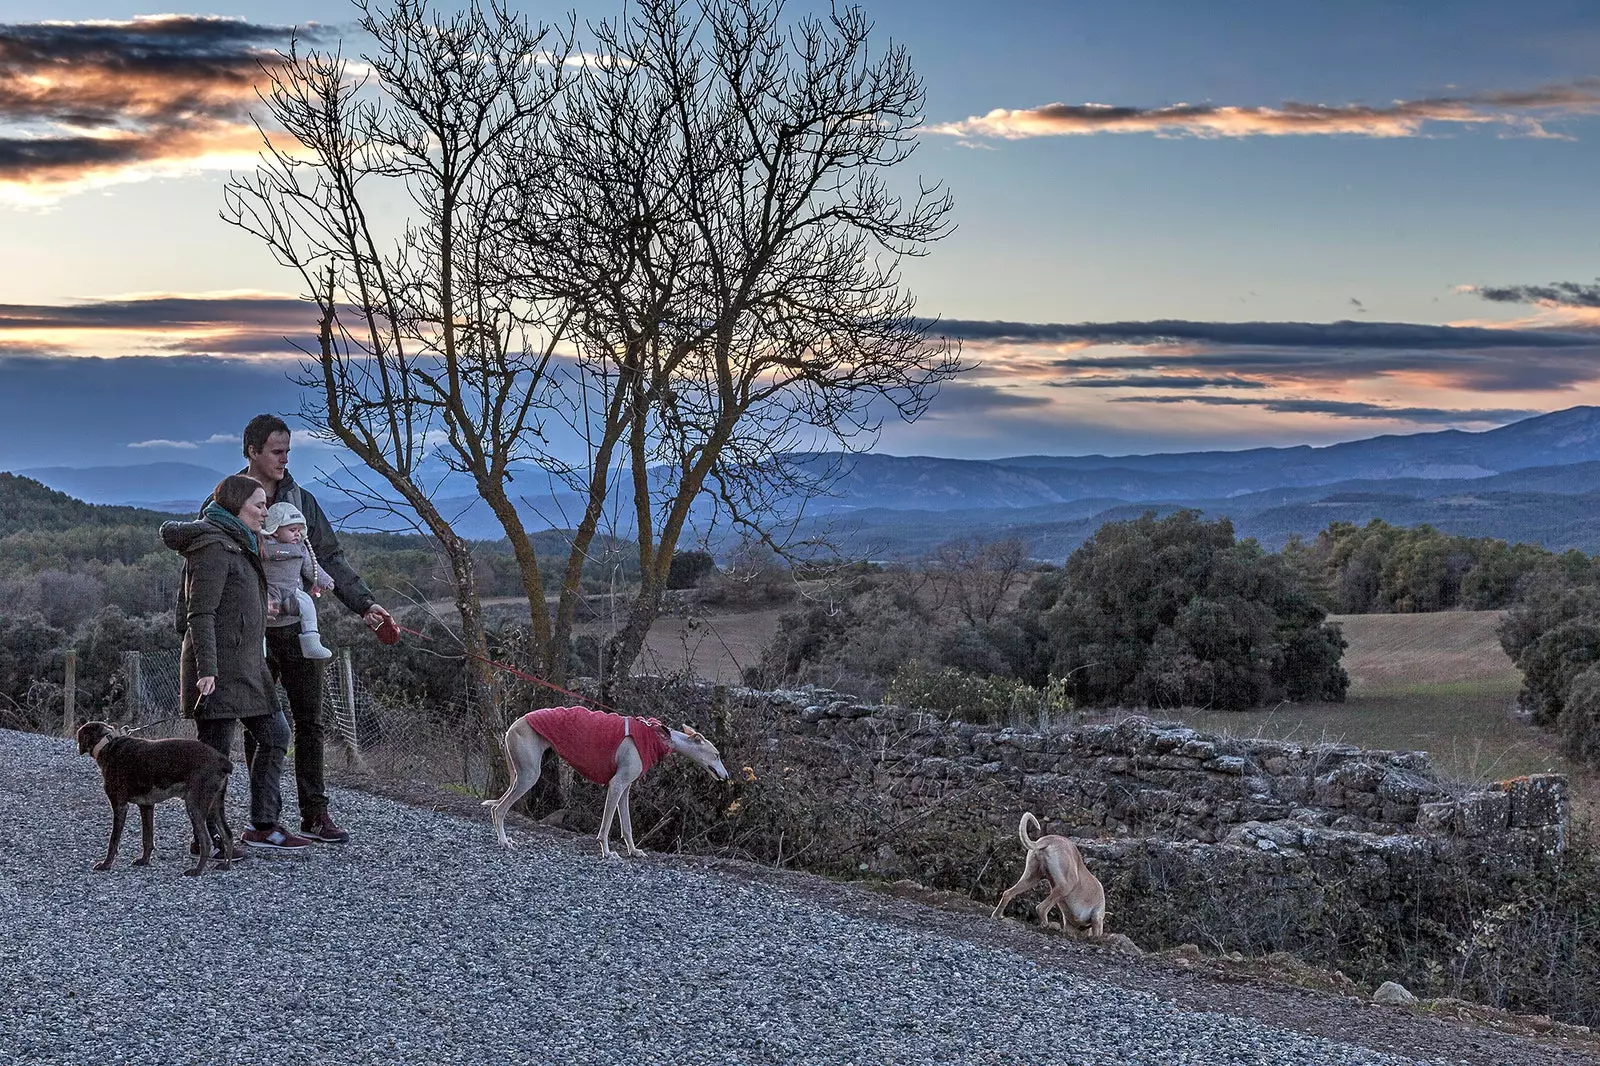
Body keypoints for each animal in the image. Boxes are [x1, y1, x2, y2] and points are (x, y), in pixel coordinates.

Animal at [76, 717, 233, 877]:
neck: (107, 743)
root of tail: (222, 760)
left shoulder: (120, 805)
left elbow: (113, 840)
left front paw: (106, 864)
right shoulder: (146, 806)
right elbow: (147, 839)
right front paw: (144, 860)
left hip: (194, 805)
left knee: (206, 841)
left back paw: (197, 870)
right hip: (215, 805)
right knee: (227, 834)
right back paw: (226, 865)